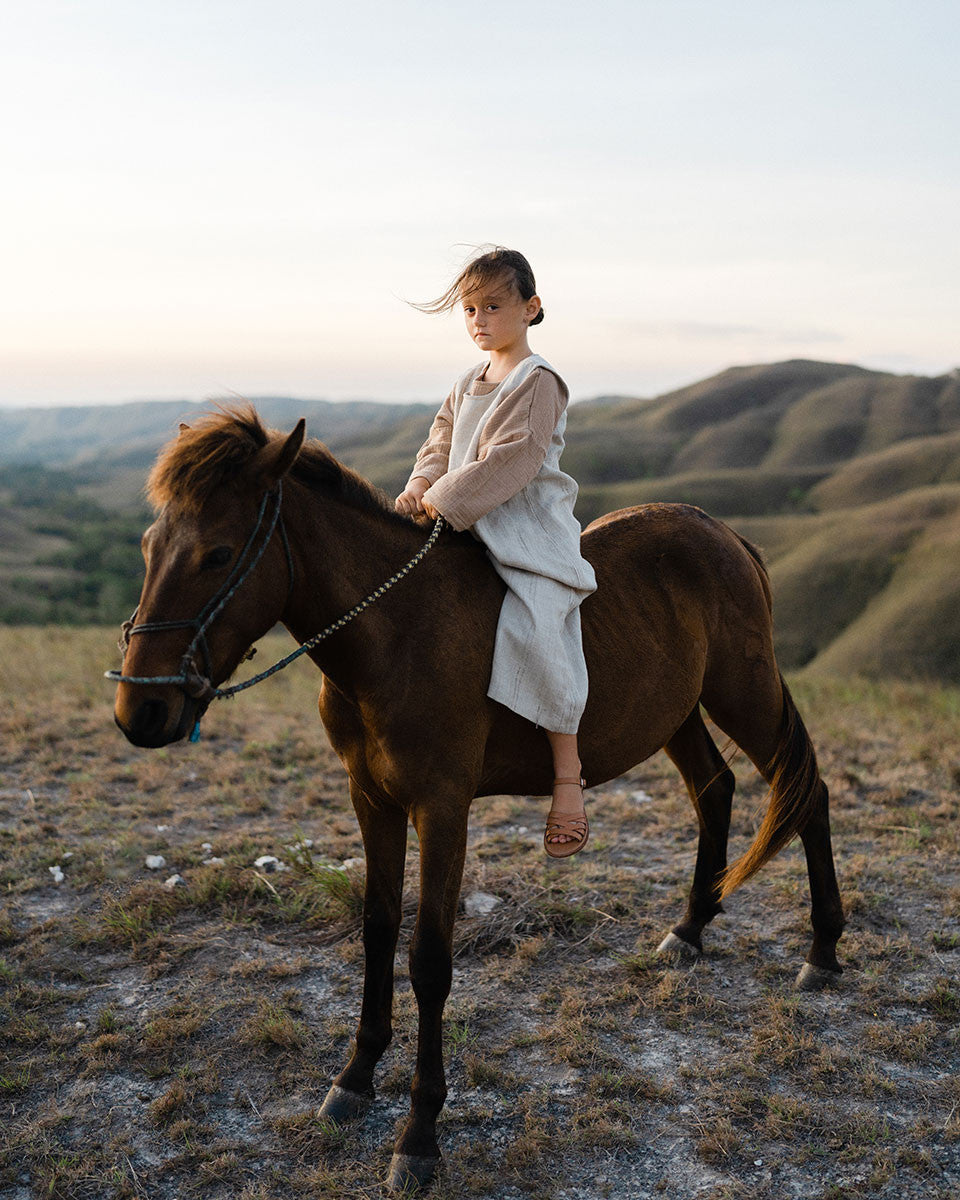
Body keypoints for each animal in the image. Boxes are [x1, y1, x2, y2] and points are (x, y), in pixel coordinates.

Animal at [112, 410, 844, 1190]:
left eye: (218, 554)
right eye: (150, 547)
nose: (140, 712)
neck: (394, 634)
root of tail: (722, 533)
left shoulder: (442, 808)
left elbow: (429, 959)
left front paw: (418, 1135)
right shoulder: (371, 801)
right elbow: (377, 930)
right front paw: (355, 1076)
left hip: (745, 691)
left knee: (807, 791)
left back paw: (824, 949)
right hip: (676, 712)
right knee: (716, 790)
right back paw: (690, 929)